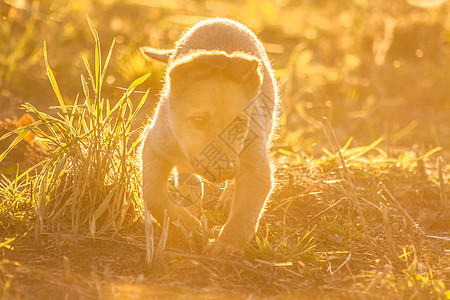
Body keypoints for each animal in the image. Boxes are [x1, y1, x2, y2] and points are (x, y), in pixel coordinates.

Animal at [141, 17, 280, 254]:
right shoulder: (153, 147)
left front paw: (227, 245)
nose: (225, 168)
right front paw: (183, 223)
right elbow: (154, 195)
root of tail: (220, 20)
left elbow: (245, 212)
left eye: (240, 123)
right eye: (199, 121)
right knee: (186, 175)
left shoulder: (257, 167)